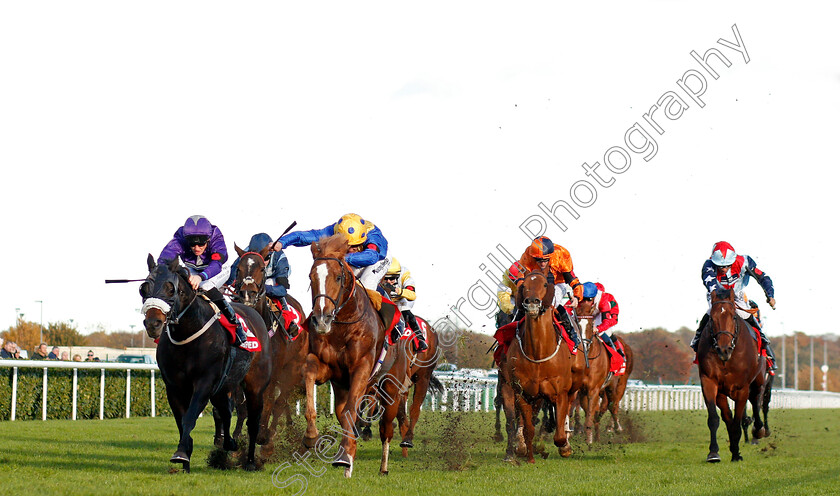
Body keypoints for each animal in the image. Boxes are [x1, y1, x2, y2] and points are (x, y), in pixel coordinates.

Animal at [140, 256, 272, 472]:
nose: (153, 324)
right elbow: (182, 419)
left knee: (253, 422)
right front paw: (185, 459)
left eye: (171, 289)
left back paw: (251, 462)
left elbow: (190, 416)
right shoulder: (174, 387)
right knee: (225, 412)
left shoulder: (205, 382)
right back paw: (229, 443)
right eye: (143, 289)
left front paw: (181, 452)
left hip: (255, 386)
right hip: (223, 387)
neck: (187, 333)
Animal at [231, 245, 306, 446]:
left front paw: (261, 433)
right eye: (238, 269)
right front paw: (236, 434)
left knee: (280, 402)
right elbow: (241, 404)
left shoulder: (273, 372)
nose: (247, 294)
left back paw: (272, 432)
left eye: (262, 269)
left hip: (292, 369)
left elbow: (269, 401)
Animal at [302, 234, 410, 478]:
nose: (321, 319)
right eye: (311, 277)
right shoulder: (326, 367)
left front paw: (344, 456)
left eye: (338, 276)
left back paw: (382, 466)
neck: (343, 324)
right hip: (343, 386)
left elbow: (352, 411)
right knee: (343, 413)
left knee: (386, 428)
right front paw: (311, 435)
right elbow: (309, 375)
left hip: (391, 388)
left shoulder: (361, 367)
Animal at [502, 272, 580, 462]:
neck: (538, 352)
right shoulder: (523, 392)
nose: (532, 302)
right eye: (523, 286)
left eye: (545, 284)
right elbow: (528, 428)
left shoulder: (560, 392)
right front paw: (528, 456)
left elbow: (559, 436)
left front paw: (564, 446)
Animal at [696, 288, 768, 464]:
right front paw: (713, 453)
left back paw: (758, 430)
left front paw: (736, 454)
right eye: (711, 318)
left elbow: (737, 421)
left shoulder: (742, 388)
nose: (724, 349)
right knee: (728, 416)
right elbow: (716, 419)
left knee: (756, 401)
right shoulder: (709, 382)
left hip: (758, 380)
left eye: (733, 316)